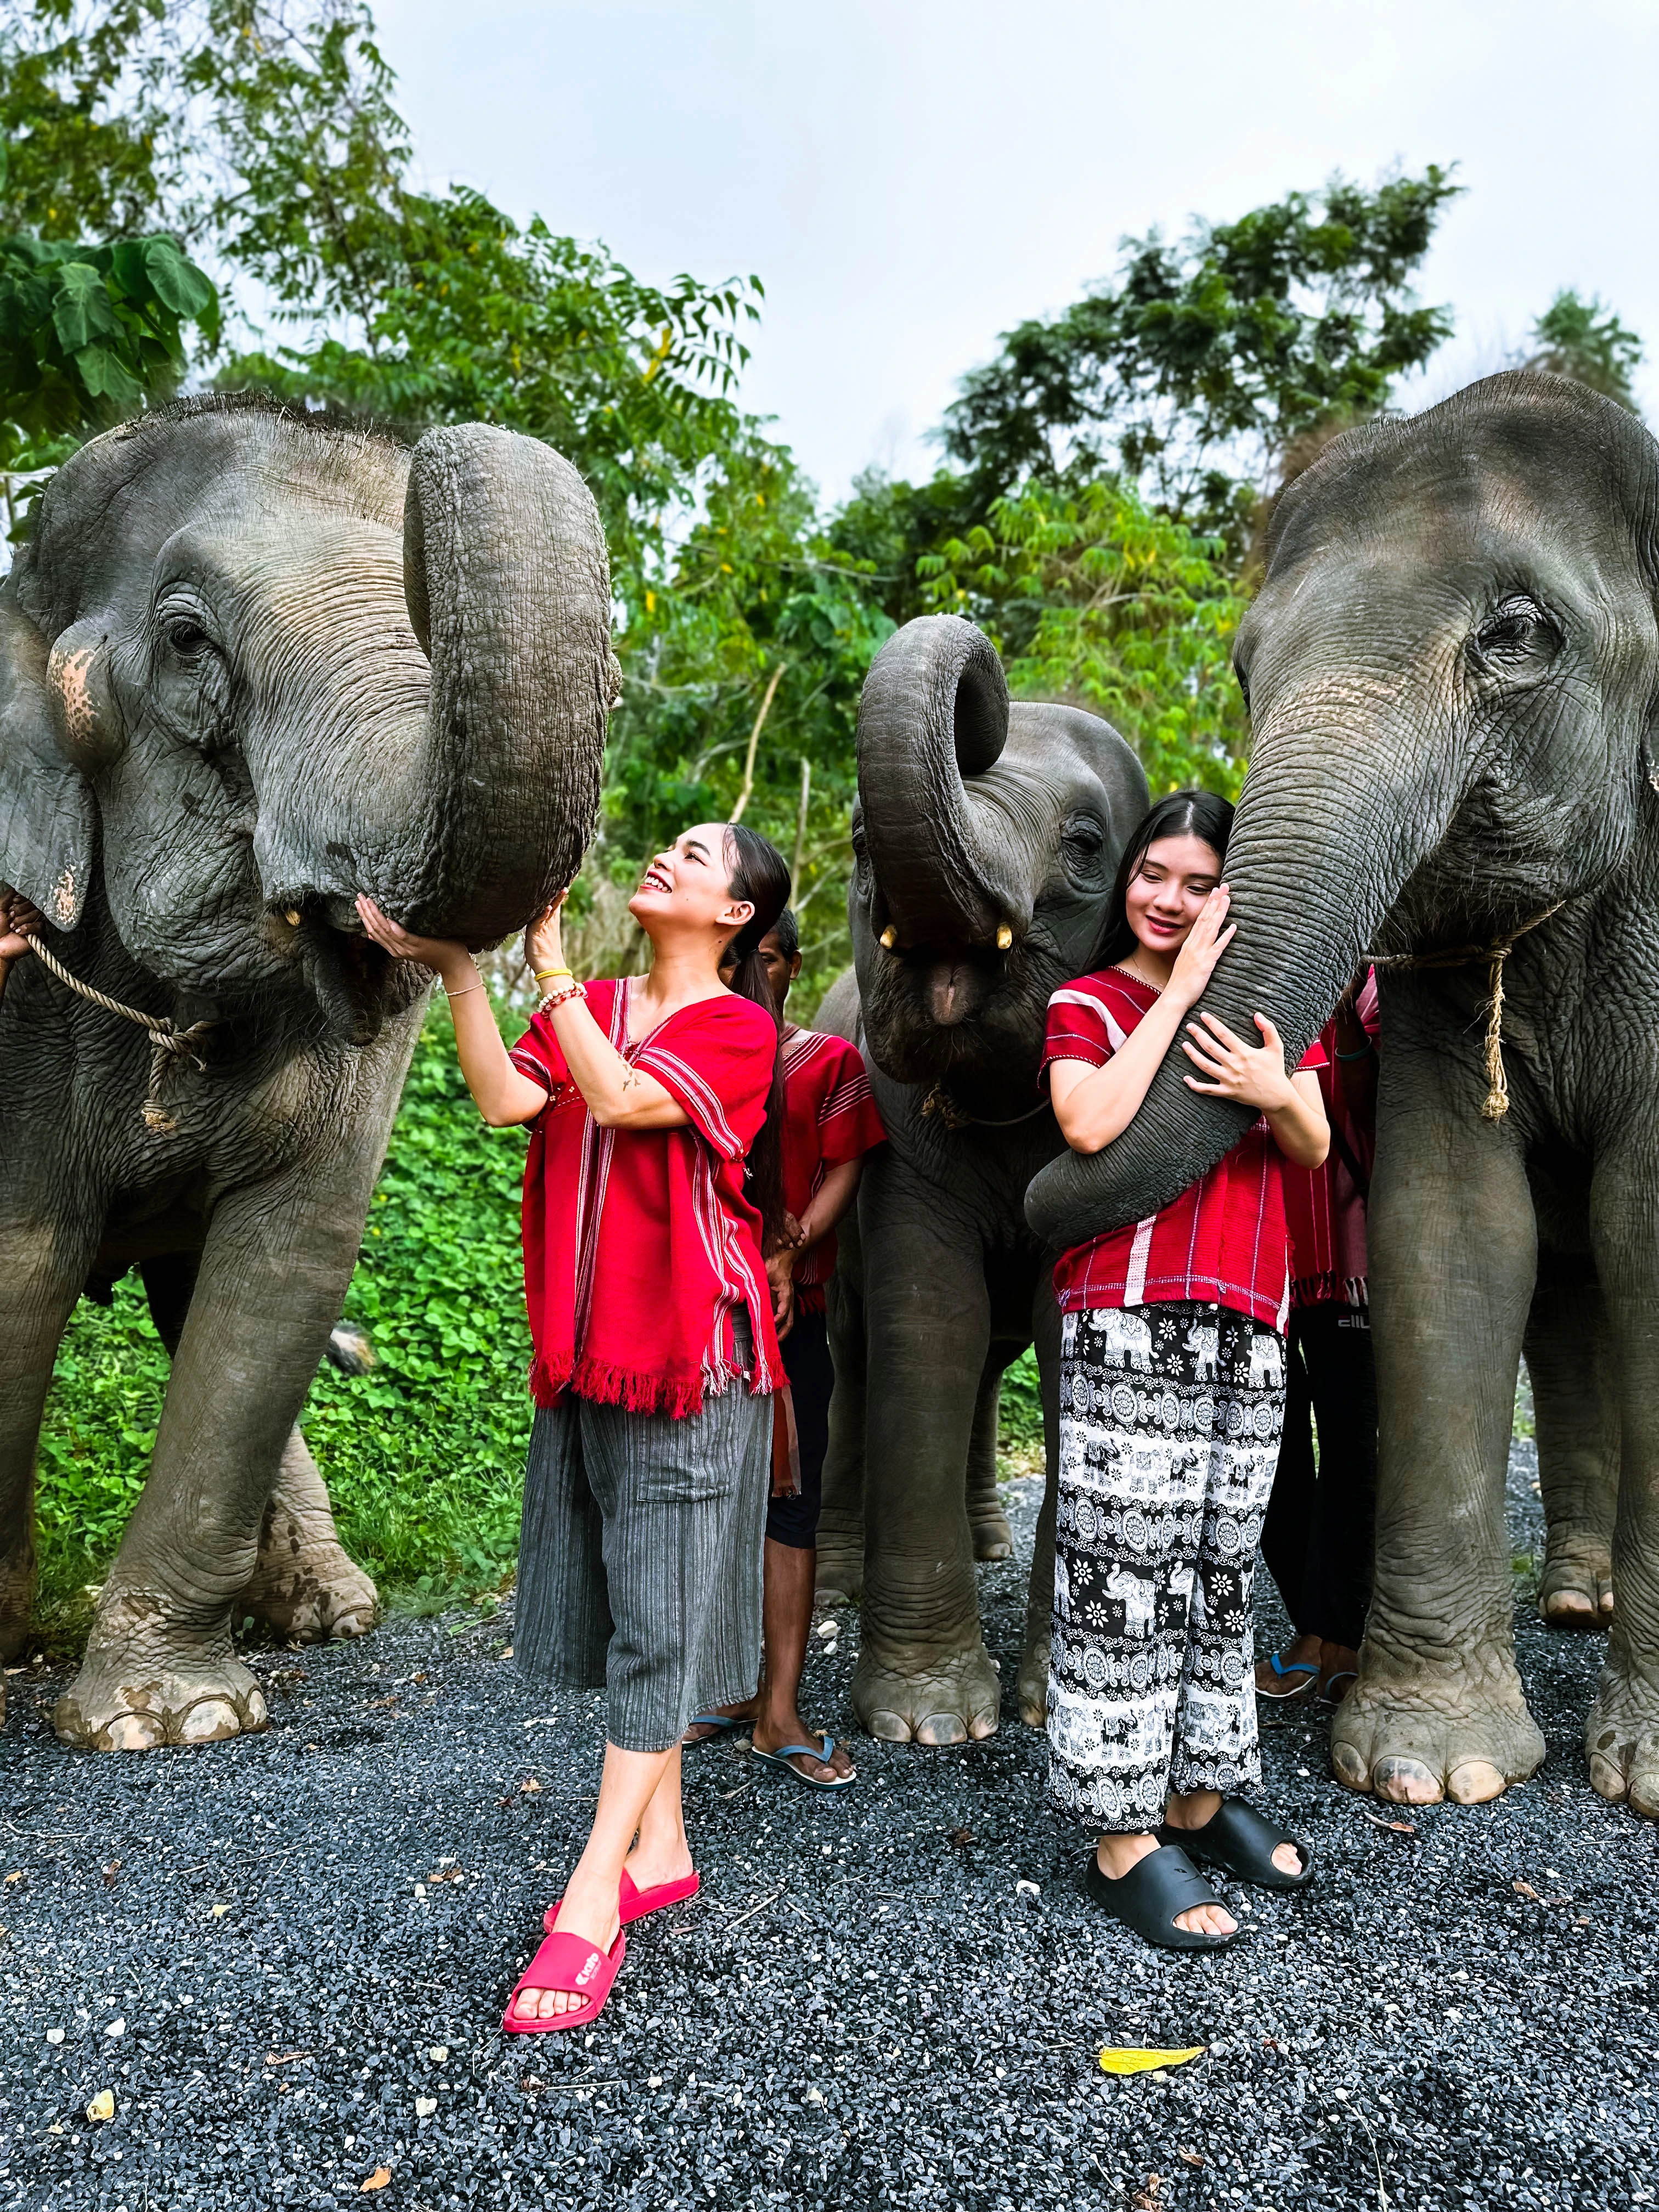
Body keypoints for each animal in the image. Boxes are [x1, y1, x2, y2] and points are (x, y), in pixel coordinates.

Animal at [814, 610, 1150, 1743]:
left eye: (1086, 846)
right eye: (858, 844)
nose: (982, 699)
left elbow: (1056, 1332)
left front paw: (1052, 1710)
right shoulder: (894, 1142)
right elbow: (931, 1323)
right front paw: (926, 1724)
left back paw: (988, 1541)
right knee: (859, 1354)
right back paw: (836, 1579)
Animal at [1035, 367, 1659, 1814]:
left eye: (1521, 632)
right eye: (1246, 666)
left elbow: (1649, 1228)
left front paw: (1644, 1779)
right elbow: (1455, 1228)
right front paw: (1436, 1773)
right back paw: (1574, 1602)